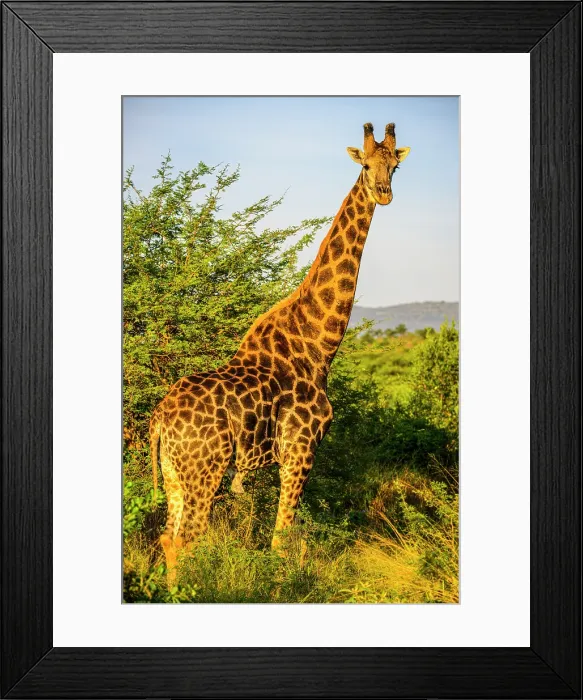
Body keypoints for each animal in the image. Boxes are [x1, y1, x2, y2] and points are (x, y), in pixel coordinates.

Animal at [149, 123, 410, 577]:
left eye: (395, 166)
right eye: (365, 164)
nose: (383, 193)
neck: (317, 345)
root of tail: (160, 420)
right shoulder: (301, 450)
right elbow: (281, 543)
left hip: (173, 473)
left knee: (167, 537)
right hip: (204, 470)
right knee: (186, 540)